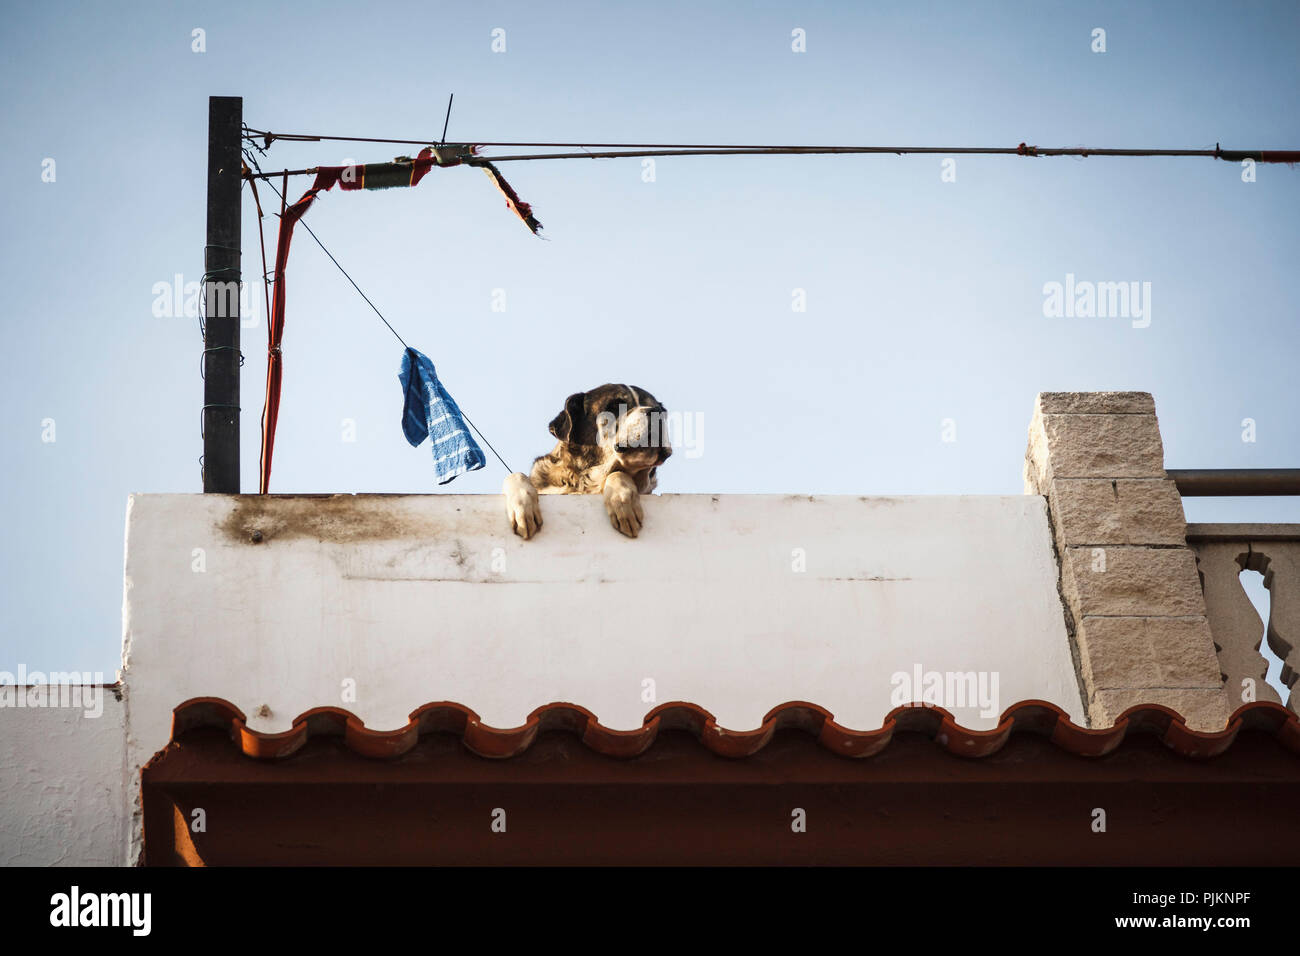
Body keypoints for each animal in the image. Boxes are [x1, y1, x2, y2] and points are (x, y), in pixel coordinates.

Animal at [504, 385, 676, 541]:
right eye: (614, 406)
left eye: (662, 409)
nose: (657, 411)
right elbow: (515, 476)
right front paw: (522, 506)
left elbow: (618, 473)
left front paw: (622, 499)